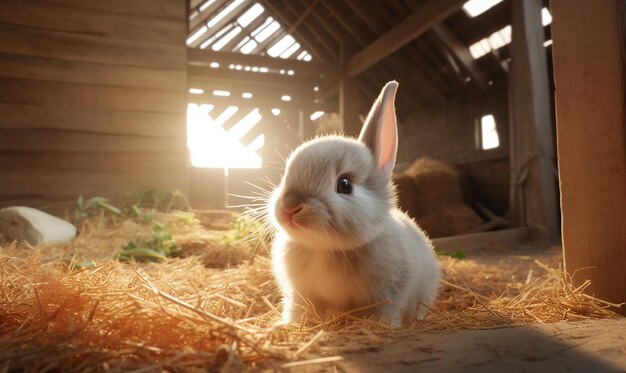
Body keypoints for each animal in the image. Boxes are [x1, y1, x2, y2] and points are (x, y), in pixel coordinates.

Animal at [268, 80, 438, 326]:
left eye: (345, 185)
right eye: (285, 174)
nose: (291, 206)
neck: (326, 249)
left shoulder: (387, 294)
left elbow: (382, 313)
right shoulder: (301, 294)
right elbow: (300, 312)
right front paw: (291, 325)